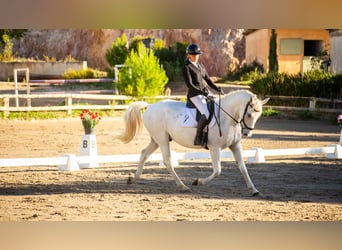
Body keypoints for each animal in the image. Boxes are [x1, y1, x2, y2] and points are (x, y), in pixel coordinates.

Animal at [116, 90, 268, 195]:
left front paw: (254, 190)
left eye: (259, 115)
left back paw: (133, 179)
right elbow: (217, 170)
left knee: (144, 154)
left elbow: (243, 168)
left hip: (156, 139)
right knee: (167, 161)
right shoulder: (215, 147)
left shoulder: (235, 146)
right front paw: (197, 181)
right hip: (162, 139)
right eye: (249, 114)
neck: (227, 117)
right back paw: (183, 186)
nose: (247, 134)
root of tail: (150, 106)